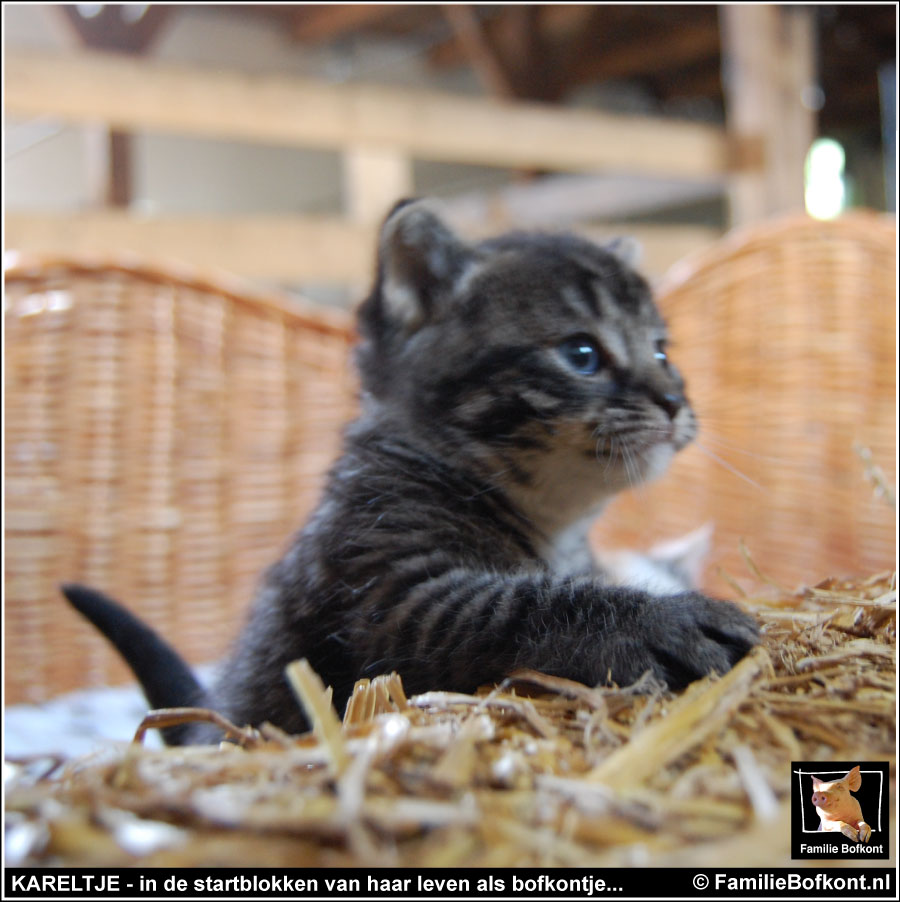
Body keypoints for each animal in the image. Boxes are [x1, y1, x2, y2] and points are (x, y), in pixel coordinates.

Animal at [61, 201, 760, 744]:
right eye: (581, 354)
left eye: (663, 352)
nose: (673, 401)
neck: (553, 523)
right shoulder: (390, 595)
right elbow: (512, 606)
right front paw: (660, 620)